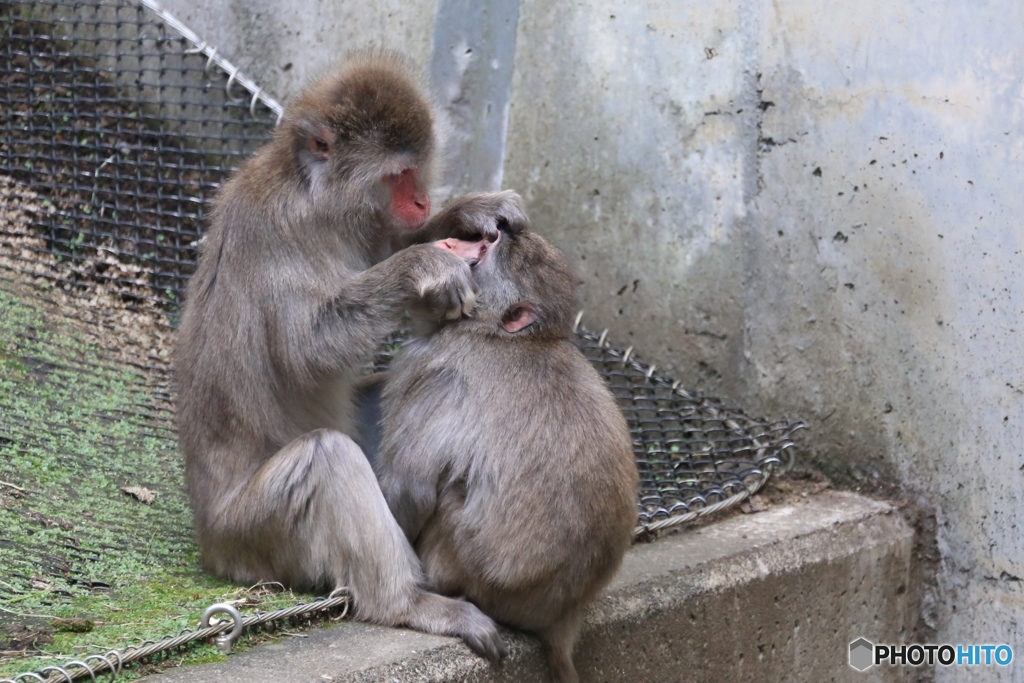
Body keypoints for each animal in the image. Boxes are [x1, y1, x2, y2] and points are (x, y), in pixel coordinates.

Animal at [174, 50, 528, 659]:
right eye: (397, 175)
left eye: (418, 171)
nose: (423, 199)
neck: (313, 194)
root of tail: (210, 541)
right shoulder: (283, 230)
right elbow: (306, 350)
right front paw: (424, 266)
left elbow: (390, 242)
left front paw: (472, 212)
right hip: (255, 535)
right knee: (326, 458)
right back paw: (407, 603)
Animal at [376, 227, 638, 679]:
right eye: (492, 240)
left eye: (490, 252)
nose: (499, 229)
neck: (503, 335)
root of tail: (561, 617)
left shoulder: (433, 373)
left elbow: (410, 491)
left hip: (464, 565)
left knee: (448, 494)